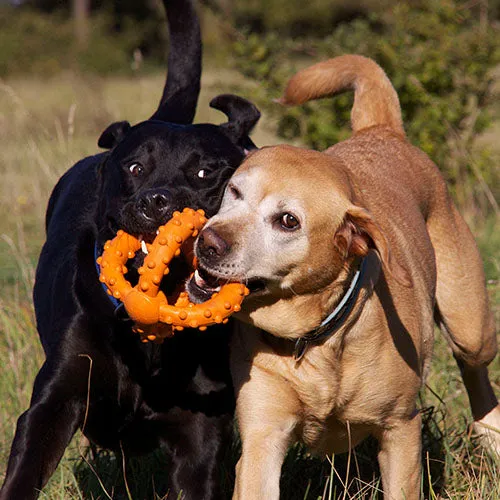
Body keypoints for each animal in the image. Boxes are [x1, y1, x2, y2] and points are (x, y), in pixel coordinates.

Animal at [1, 1, 262, 498]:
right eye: (136, 167)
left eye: (206, 173)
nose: (156, 201)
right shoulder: (55, 400)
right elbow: (26, 468)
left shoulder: (202, 435)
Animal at [186, 54, 498, 496]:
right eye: (234, 191)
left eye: (288, 221)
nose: (207, 243)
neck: (314, 337)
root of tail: (381, 131)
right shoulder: (262, 435)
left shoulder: (401, 430)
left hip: (470, 325)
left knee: (476, 371)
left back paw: (492, 436)